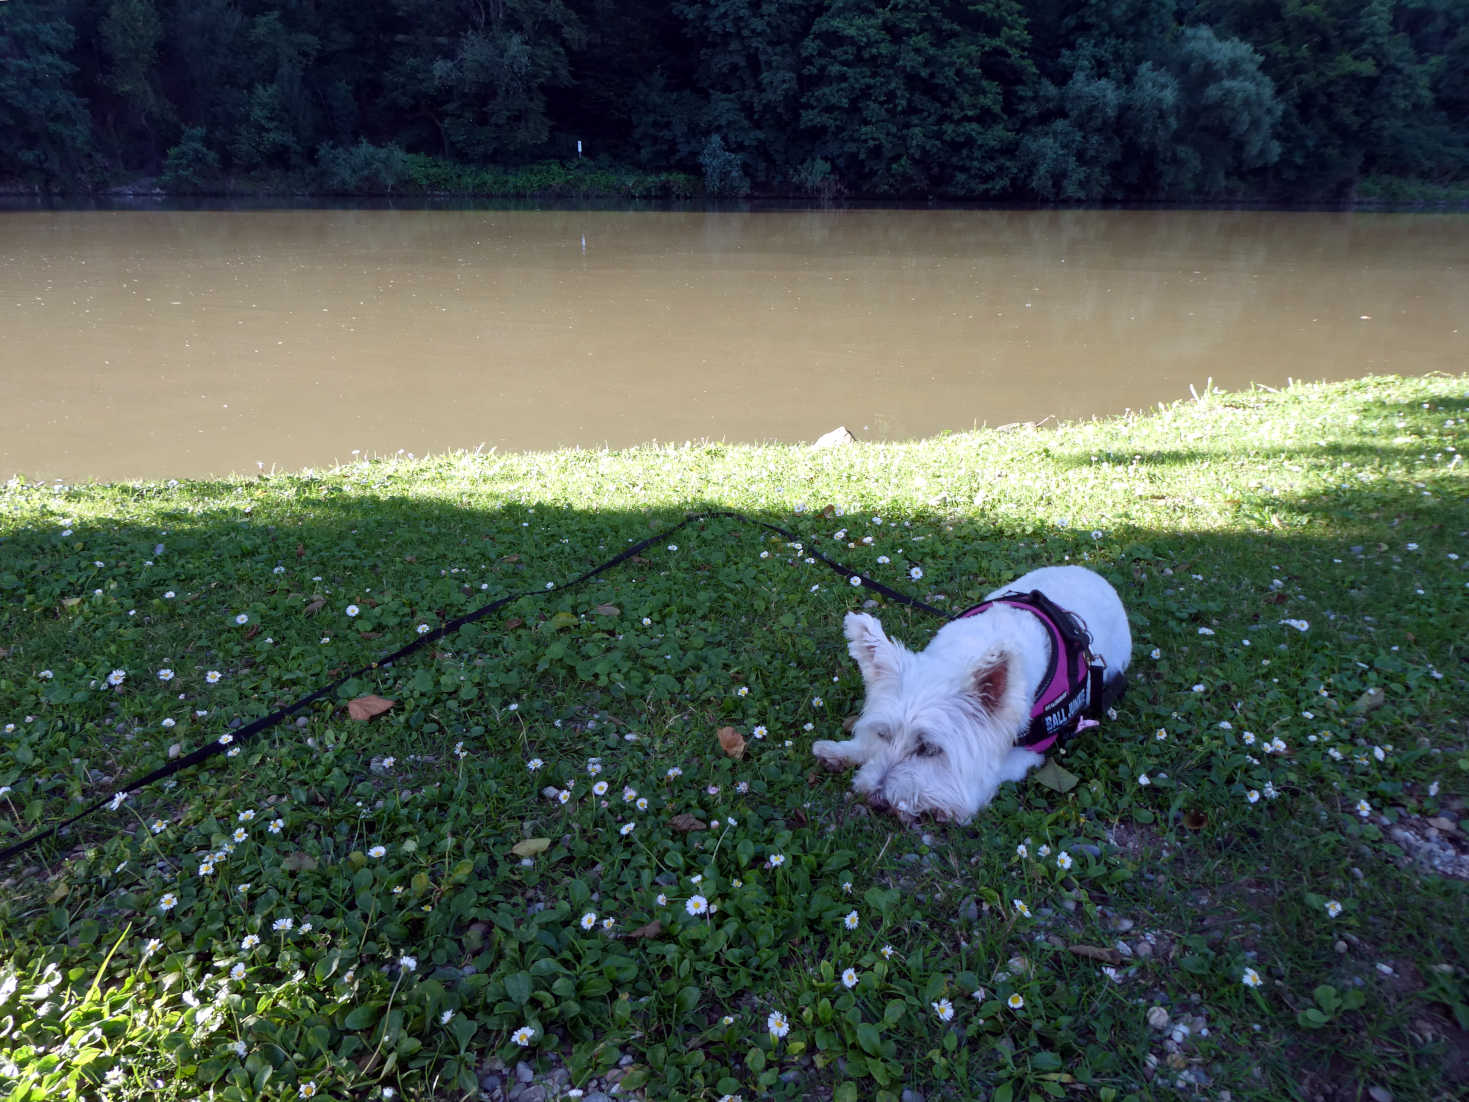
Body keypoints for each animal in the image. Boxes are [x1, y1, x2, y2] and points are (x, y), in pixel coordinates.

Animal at [810, 570, 1128, 822]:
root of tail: (1093, 575)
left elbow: (982, 779)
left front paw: (940, 803)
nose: (875, 799)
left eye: (929, 750)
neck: (960, 655)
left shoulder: (1025, 753)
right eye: (883, 735)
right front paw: (840, 752)